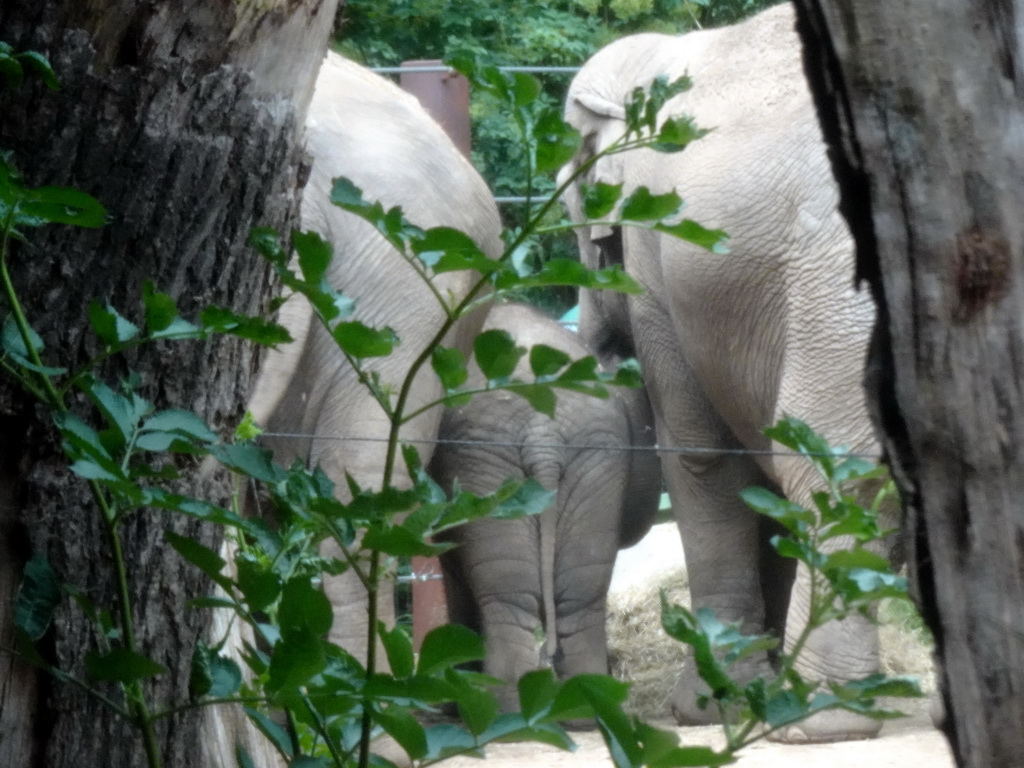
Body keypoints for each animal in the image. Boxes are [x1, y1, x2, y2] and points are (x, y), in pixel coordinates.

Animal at [425, 303, 659, 712]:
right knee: (579, 596)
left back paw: (502, 712)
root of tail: (543, 431)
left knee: (509, 598)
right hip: (592, 452)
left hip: (488, 458)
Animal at [561, 1, 888, 745]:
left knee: (834, 464)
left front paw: (708, 708)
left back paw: (815, 717)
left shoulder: (657, 251)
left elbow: (702, 456)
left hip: (838, 283)